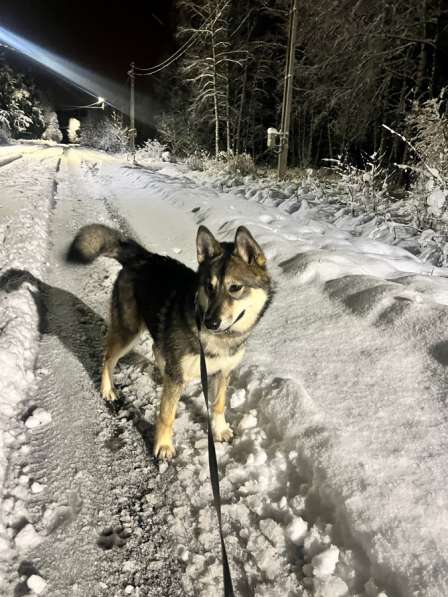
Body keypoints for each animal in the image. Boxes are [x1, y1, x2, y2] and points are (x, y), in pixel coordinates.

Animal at [68, 224, 272, 460]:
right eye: (209, 287)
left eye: (235, 287)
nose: (210, 322)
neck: (219, 339)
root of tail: (142, 256)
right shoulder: (179, 375)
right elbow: (166, 415)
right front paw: (163, 446)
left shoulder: (223, 372)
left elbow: (219, 404)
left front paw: (220, 430)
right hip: (128, 332)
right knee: (108, 357)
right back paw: (107, 390)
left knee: (157, 350)